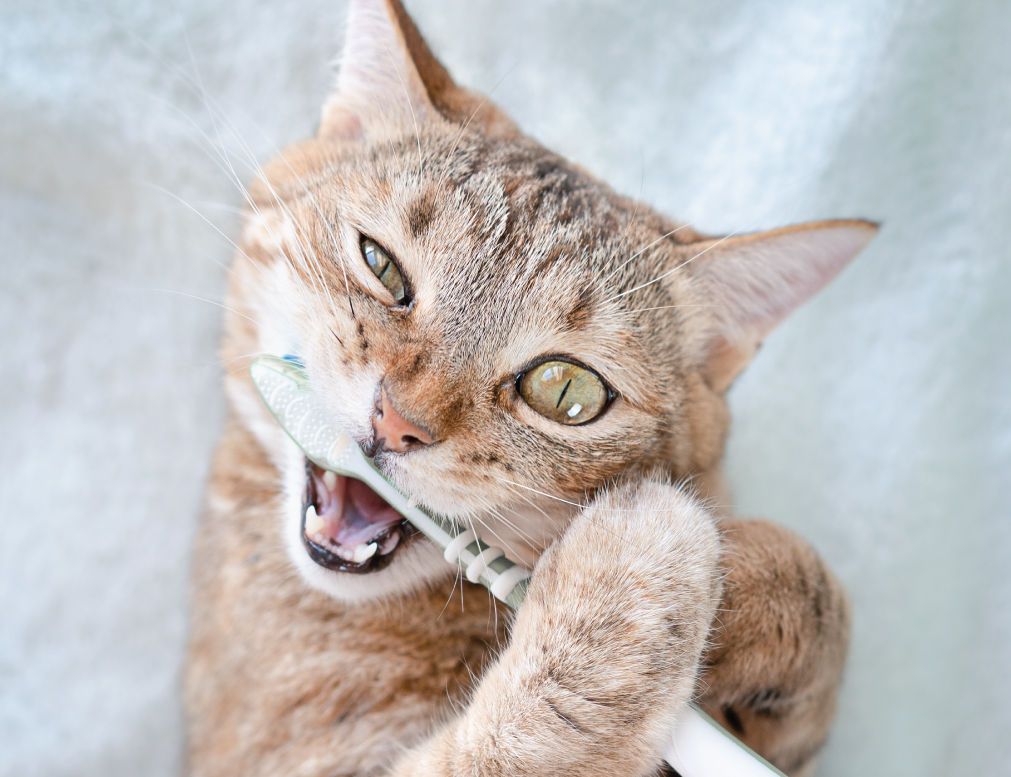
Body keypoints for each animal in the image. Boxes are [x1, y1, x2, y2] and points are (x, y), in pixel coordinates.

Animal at [184, 3, 877, 771]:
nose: (396, 421)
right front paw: (640, 565)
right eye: (380, 265)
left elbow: (821, 594)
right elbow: (514, 736)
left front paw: (736, 588)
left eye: (565, 390)